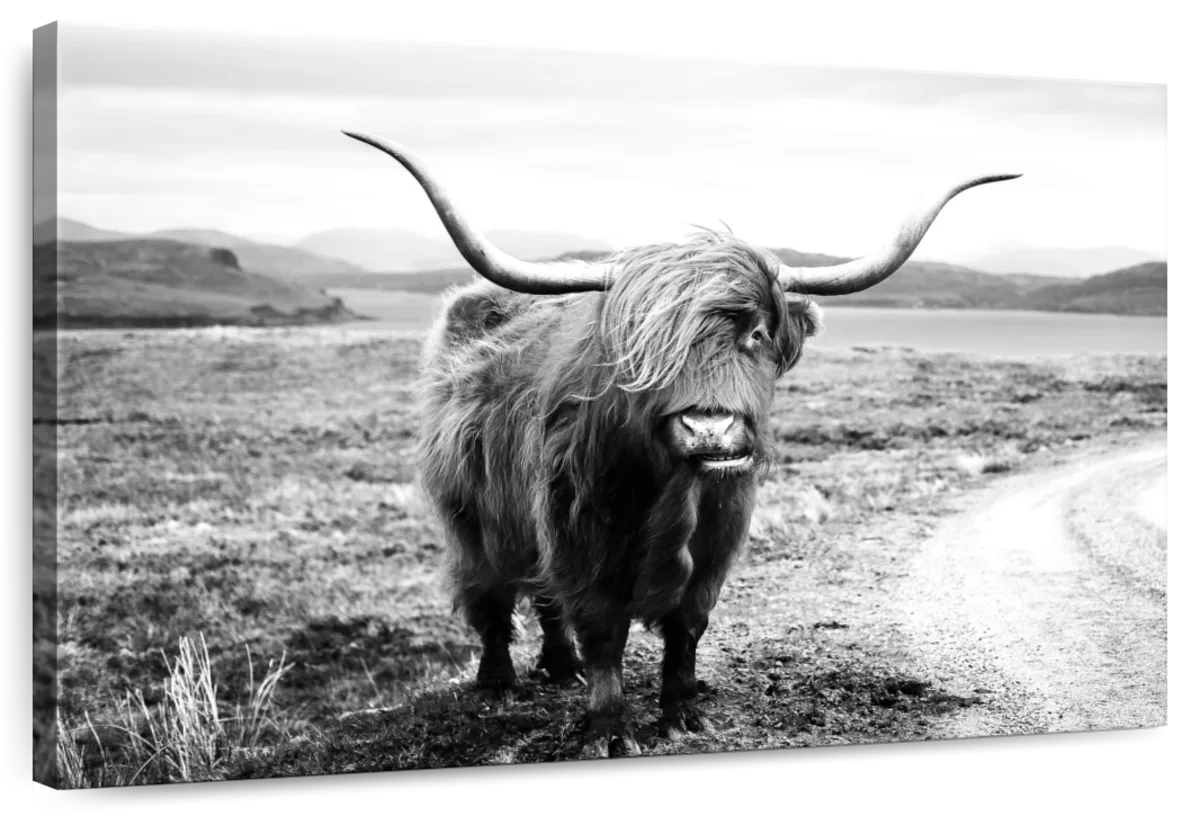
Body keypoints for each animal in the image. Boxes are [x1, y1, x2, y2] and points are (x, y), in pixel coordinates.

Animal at [343, 130, 1019, 758]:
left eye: (756, 333)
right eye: (642, 346)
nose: (710, 430)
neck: (676, 492)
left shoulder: (719, 540)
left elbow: (688, 627)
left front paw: (682, 714)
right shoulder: (581, 537)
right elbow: (603, 632)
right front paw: (608, 731)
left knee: (543, 601)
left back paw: (560, 670)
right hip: (470, 514)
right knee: (490, 593)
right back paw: (499, 683)